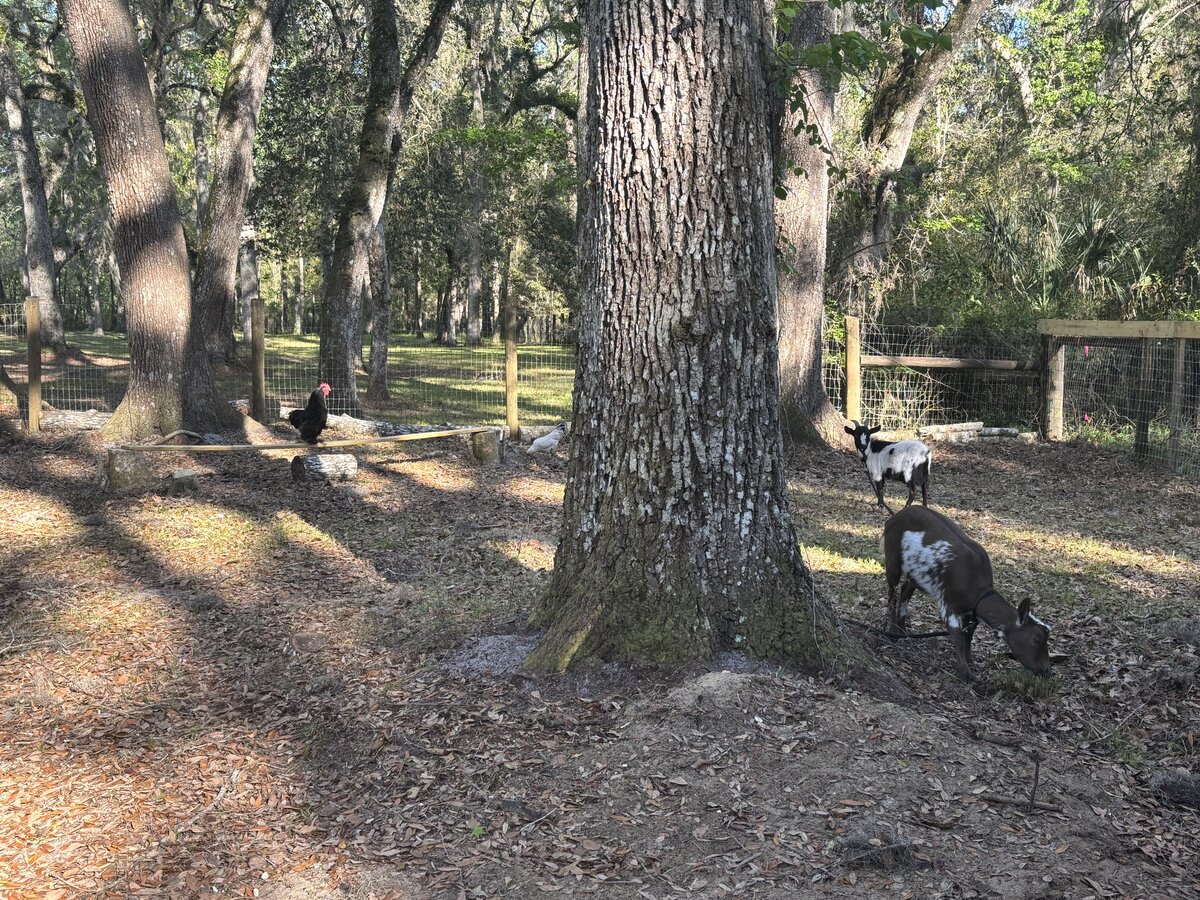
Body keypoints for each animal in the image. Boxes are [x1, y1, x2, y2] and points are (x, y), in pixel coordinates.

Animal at [881, 506, 1051, 681]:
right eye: (1036, 639)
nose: (1047, 670)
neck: (978, 592)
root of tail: (895, 516)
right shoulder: (948, 605)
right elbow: (958, 638)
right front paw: (965, 672)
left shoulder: (971, 613)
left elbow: (968, 636)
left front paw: (971, 662)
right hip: (892, 560)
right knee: (892, 594)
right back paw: (893, 632)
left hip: (916, 574)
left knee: (905, 589)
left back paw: (903, 630)